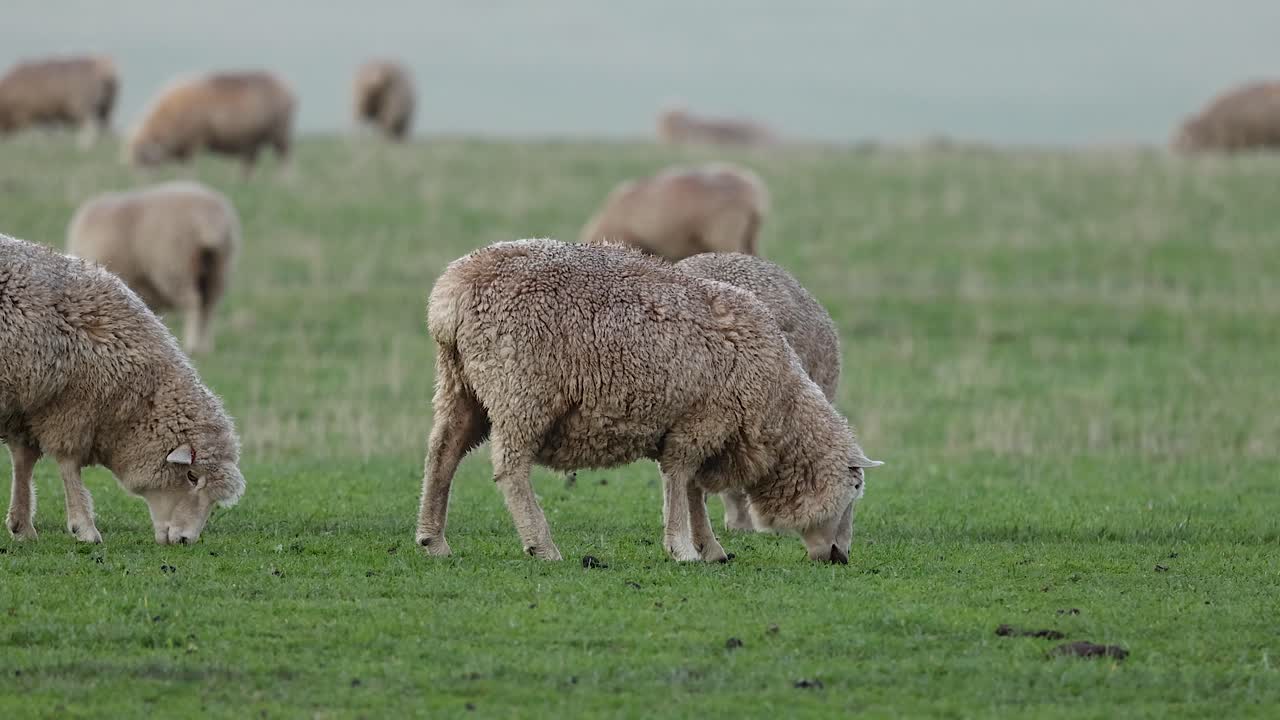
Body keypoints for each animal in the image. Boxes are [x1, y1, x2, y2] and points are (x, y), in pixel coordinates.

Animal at [1, 234, 245, 545]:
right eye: (191, 476)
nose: (185, 540)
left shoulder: (29, 405)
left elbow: (23, 462)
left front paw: (22, 526)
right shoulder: (71, 407)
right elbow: (68, 464)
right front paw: (85, 527)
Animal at [66, 180, 240, 355]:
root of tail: (207, 220)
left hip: (174, 266)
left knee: (194, 303)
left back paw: (192, 343)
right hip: (217, 269)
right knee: (209, 306)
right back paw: (205, 345)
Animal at [126, 71, 295, 173]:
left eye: (144, 158)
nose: (142, 184)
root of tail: (287, 86)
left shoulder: (194, 141)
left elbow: (190, 168)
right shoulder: (183, 147)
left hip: (280, 132)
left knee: (285, 160)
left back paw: (284, 183)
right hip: (253, 140)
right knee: (250, 164)